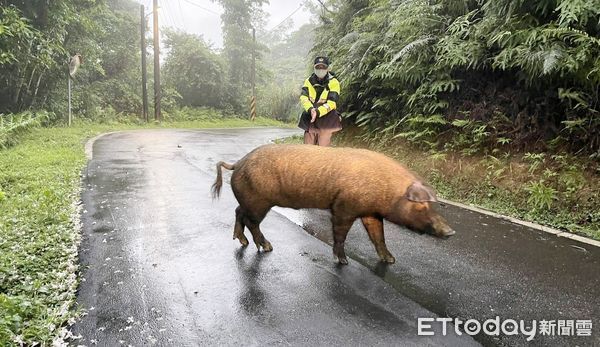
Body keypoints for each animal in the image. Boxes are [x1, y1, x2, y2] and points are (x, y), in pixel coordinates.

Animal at [212, 143, 454, 264]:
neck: (386, 189)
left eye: (433, 205)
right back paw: (268, 247)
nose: (450, 231)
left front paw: (391, 261)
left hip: (249, 201)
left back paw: (242, 242)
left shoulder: (370, 212)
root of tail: (237, 163)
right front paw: (343, 261)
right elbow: (340, 233)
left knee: (238, 212)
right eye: (422, 205)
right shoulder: (343, 207)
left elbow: (378, 236)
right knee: (252, 222)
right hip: (258, 202)